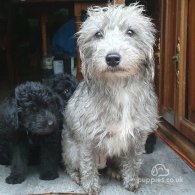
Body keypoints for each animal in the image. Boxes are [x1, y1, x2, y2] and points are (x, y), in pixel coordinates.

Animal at [61, 3, 159, 194]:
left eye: (130, 32)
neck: (119, 87)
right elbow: (88, 165)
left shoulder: (138, 136)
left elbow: (133, 161)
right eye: (98, 34)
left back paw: (115, 170)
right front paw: (90, 185)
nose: (112, 58)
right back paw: (77, 176)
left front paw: (131, 180)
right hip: (71, 150)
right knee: (71, 165)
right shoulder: (86, 137)